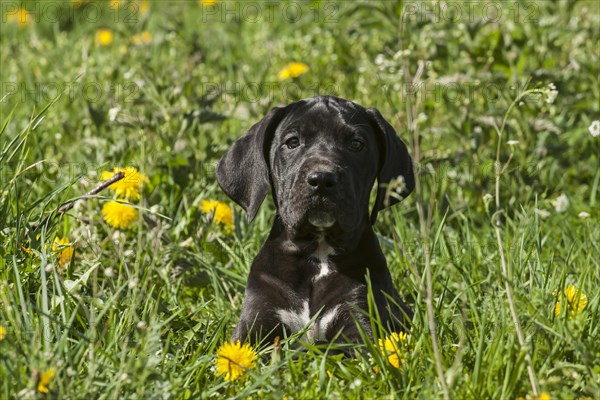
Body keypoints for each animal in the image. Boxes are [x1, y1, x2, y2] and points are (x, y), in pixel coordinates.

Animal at [216, 95, 412, 346]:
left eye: (356, 144)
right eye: (292, 142)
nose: (322, 179)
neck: (318, 251)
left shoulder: (358, 322)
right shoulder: (255, 324)